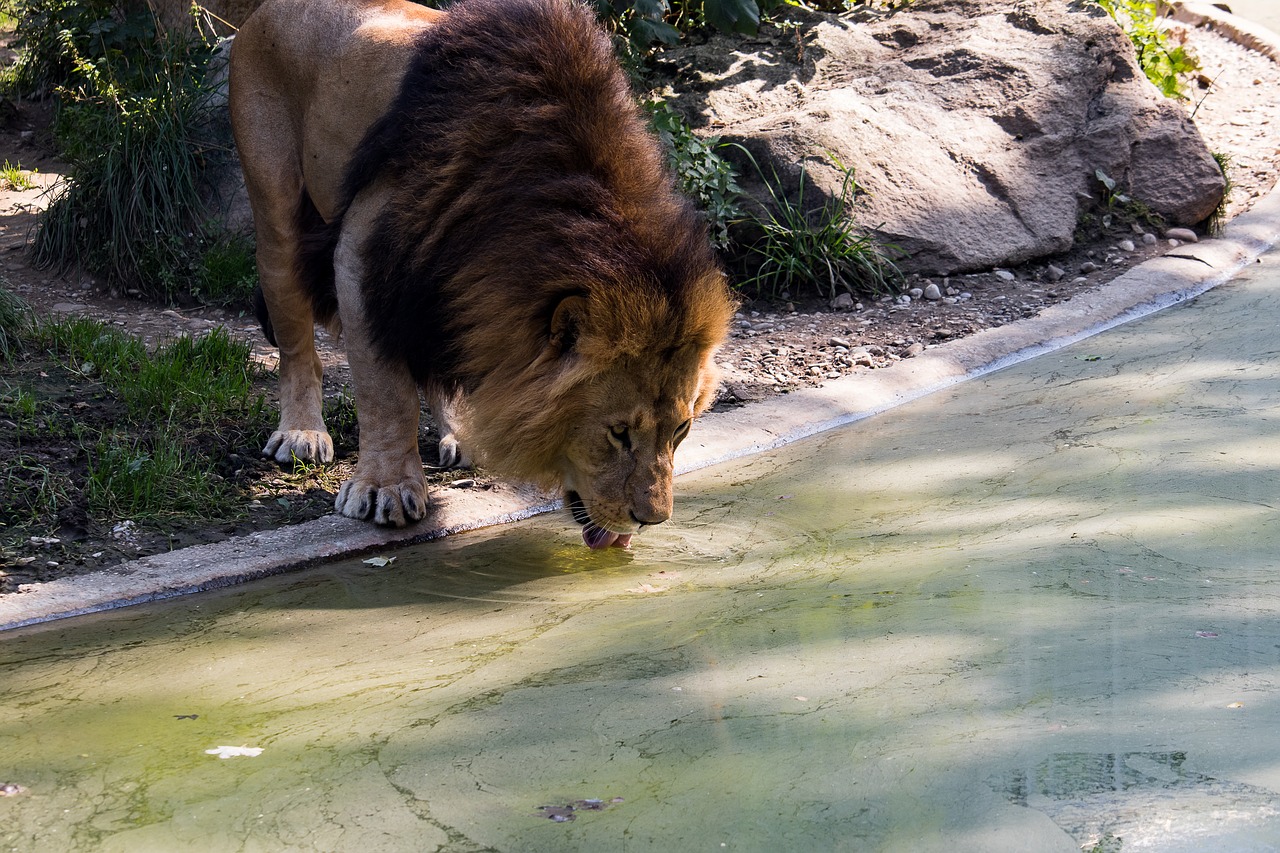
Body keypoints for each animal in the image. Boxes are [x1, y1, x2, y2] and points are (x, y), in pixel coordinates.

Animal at [226, 0, 737, 548]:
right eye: (618, 432)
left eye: (681, 430)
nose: (652, 520)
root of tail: (262, 11)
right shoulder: (362, 252)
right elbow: (385, 390)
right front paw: (386, 488)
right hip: (277, 211)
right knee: (298, 342)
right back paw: (301, 432)